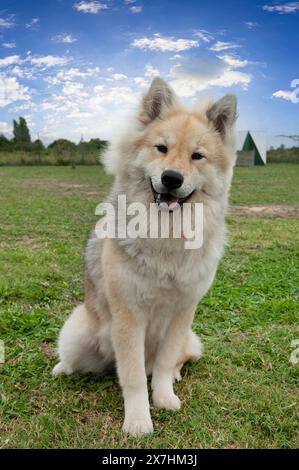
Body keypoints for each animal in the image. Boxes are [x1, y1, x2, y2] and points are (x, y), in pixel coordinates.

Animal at [52, 76, 238, 436]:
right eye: (161, 148)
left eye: (197, 156)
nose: (172, 178)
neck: (166, 234)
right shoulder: (129, 316)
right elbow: (134, 376)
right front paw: (138, 420)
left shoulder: (182, 314)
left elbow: (163, 365)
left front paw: (164, 398)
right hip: (79, 333)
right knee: (85, 359)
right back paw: (63, 368)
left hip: (190, 341)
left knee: (176, 359)